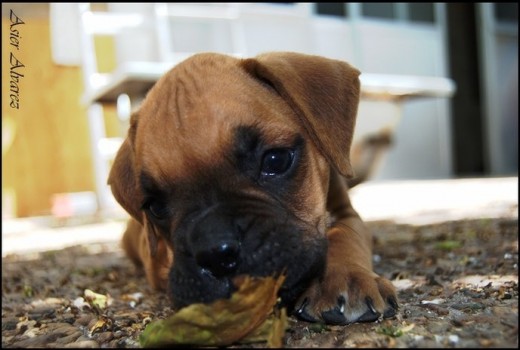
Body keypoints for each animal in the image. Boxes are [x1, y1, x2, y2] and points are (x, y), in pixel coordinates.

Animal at [107, 50, 396, 324]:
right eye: (155, 207)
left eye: (276, 159)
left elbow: (344, 236)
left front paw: (344, 277)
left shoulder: (347, 213)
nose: (215, 253)